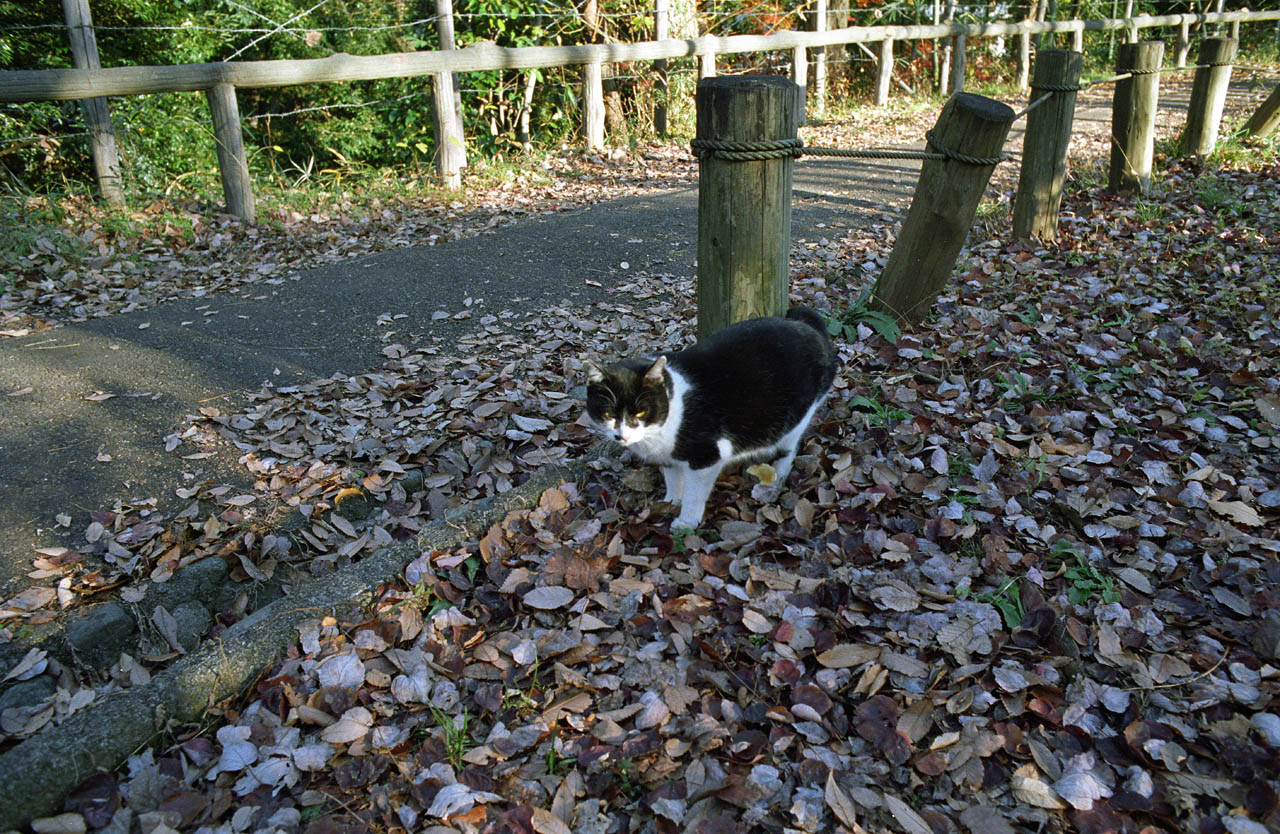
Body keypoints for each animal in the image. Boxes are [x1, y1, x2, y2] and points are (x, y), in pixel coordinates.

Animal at [586, 309, 834, 532]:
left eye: (640, 413)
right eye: (608, 414)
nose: (621, 435)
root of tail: (805, 323)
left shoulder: (706, 457)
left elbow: (694, 494)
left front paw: (685, 522)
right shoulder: (669, 457)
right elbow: (673, 478)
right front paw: (669, 502)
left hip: (798, 416)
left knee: (788, 448)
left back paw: (775, 479)